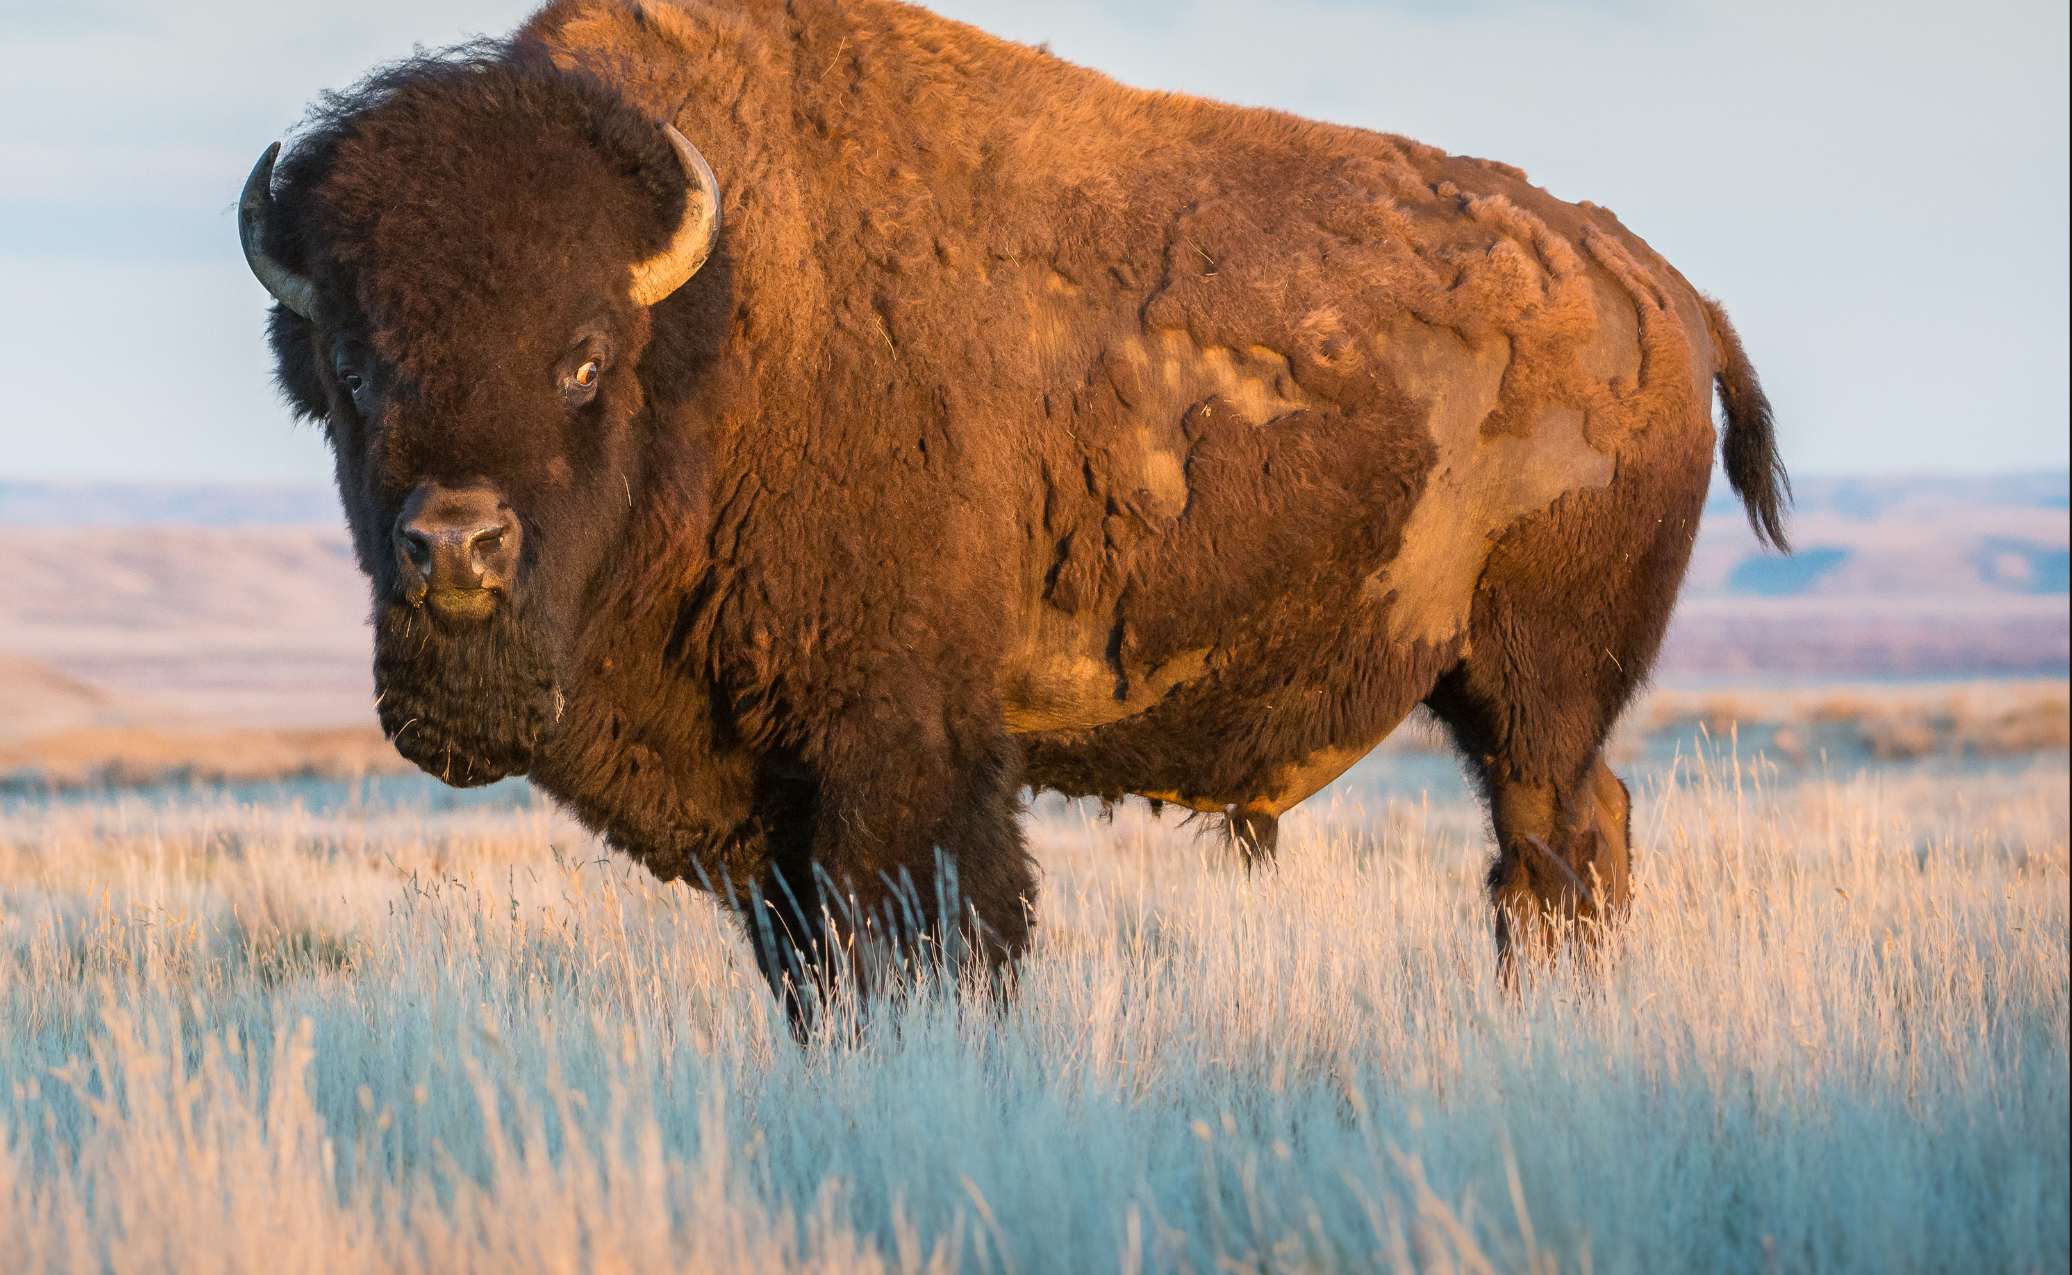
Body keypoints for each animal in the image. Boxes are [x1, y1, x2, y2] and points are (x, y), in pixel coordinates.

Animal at [239, 0, 1788, 1024]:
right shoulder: (767, 808)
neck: (714, 320)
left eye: (579, 360)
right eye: (355, 371)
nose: (455, 546)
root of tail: (1660, 290)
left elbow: (940, 936)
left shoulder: (903, 751)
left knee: (1555, 843)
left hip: (1535, 681)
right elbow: (815, 967)